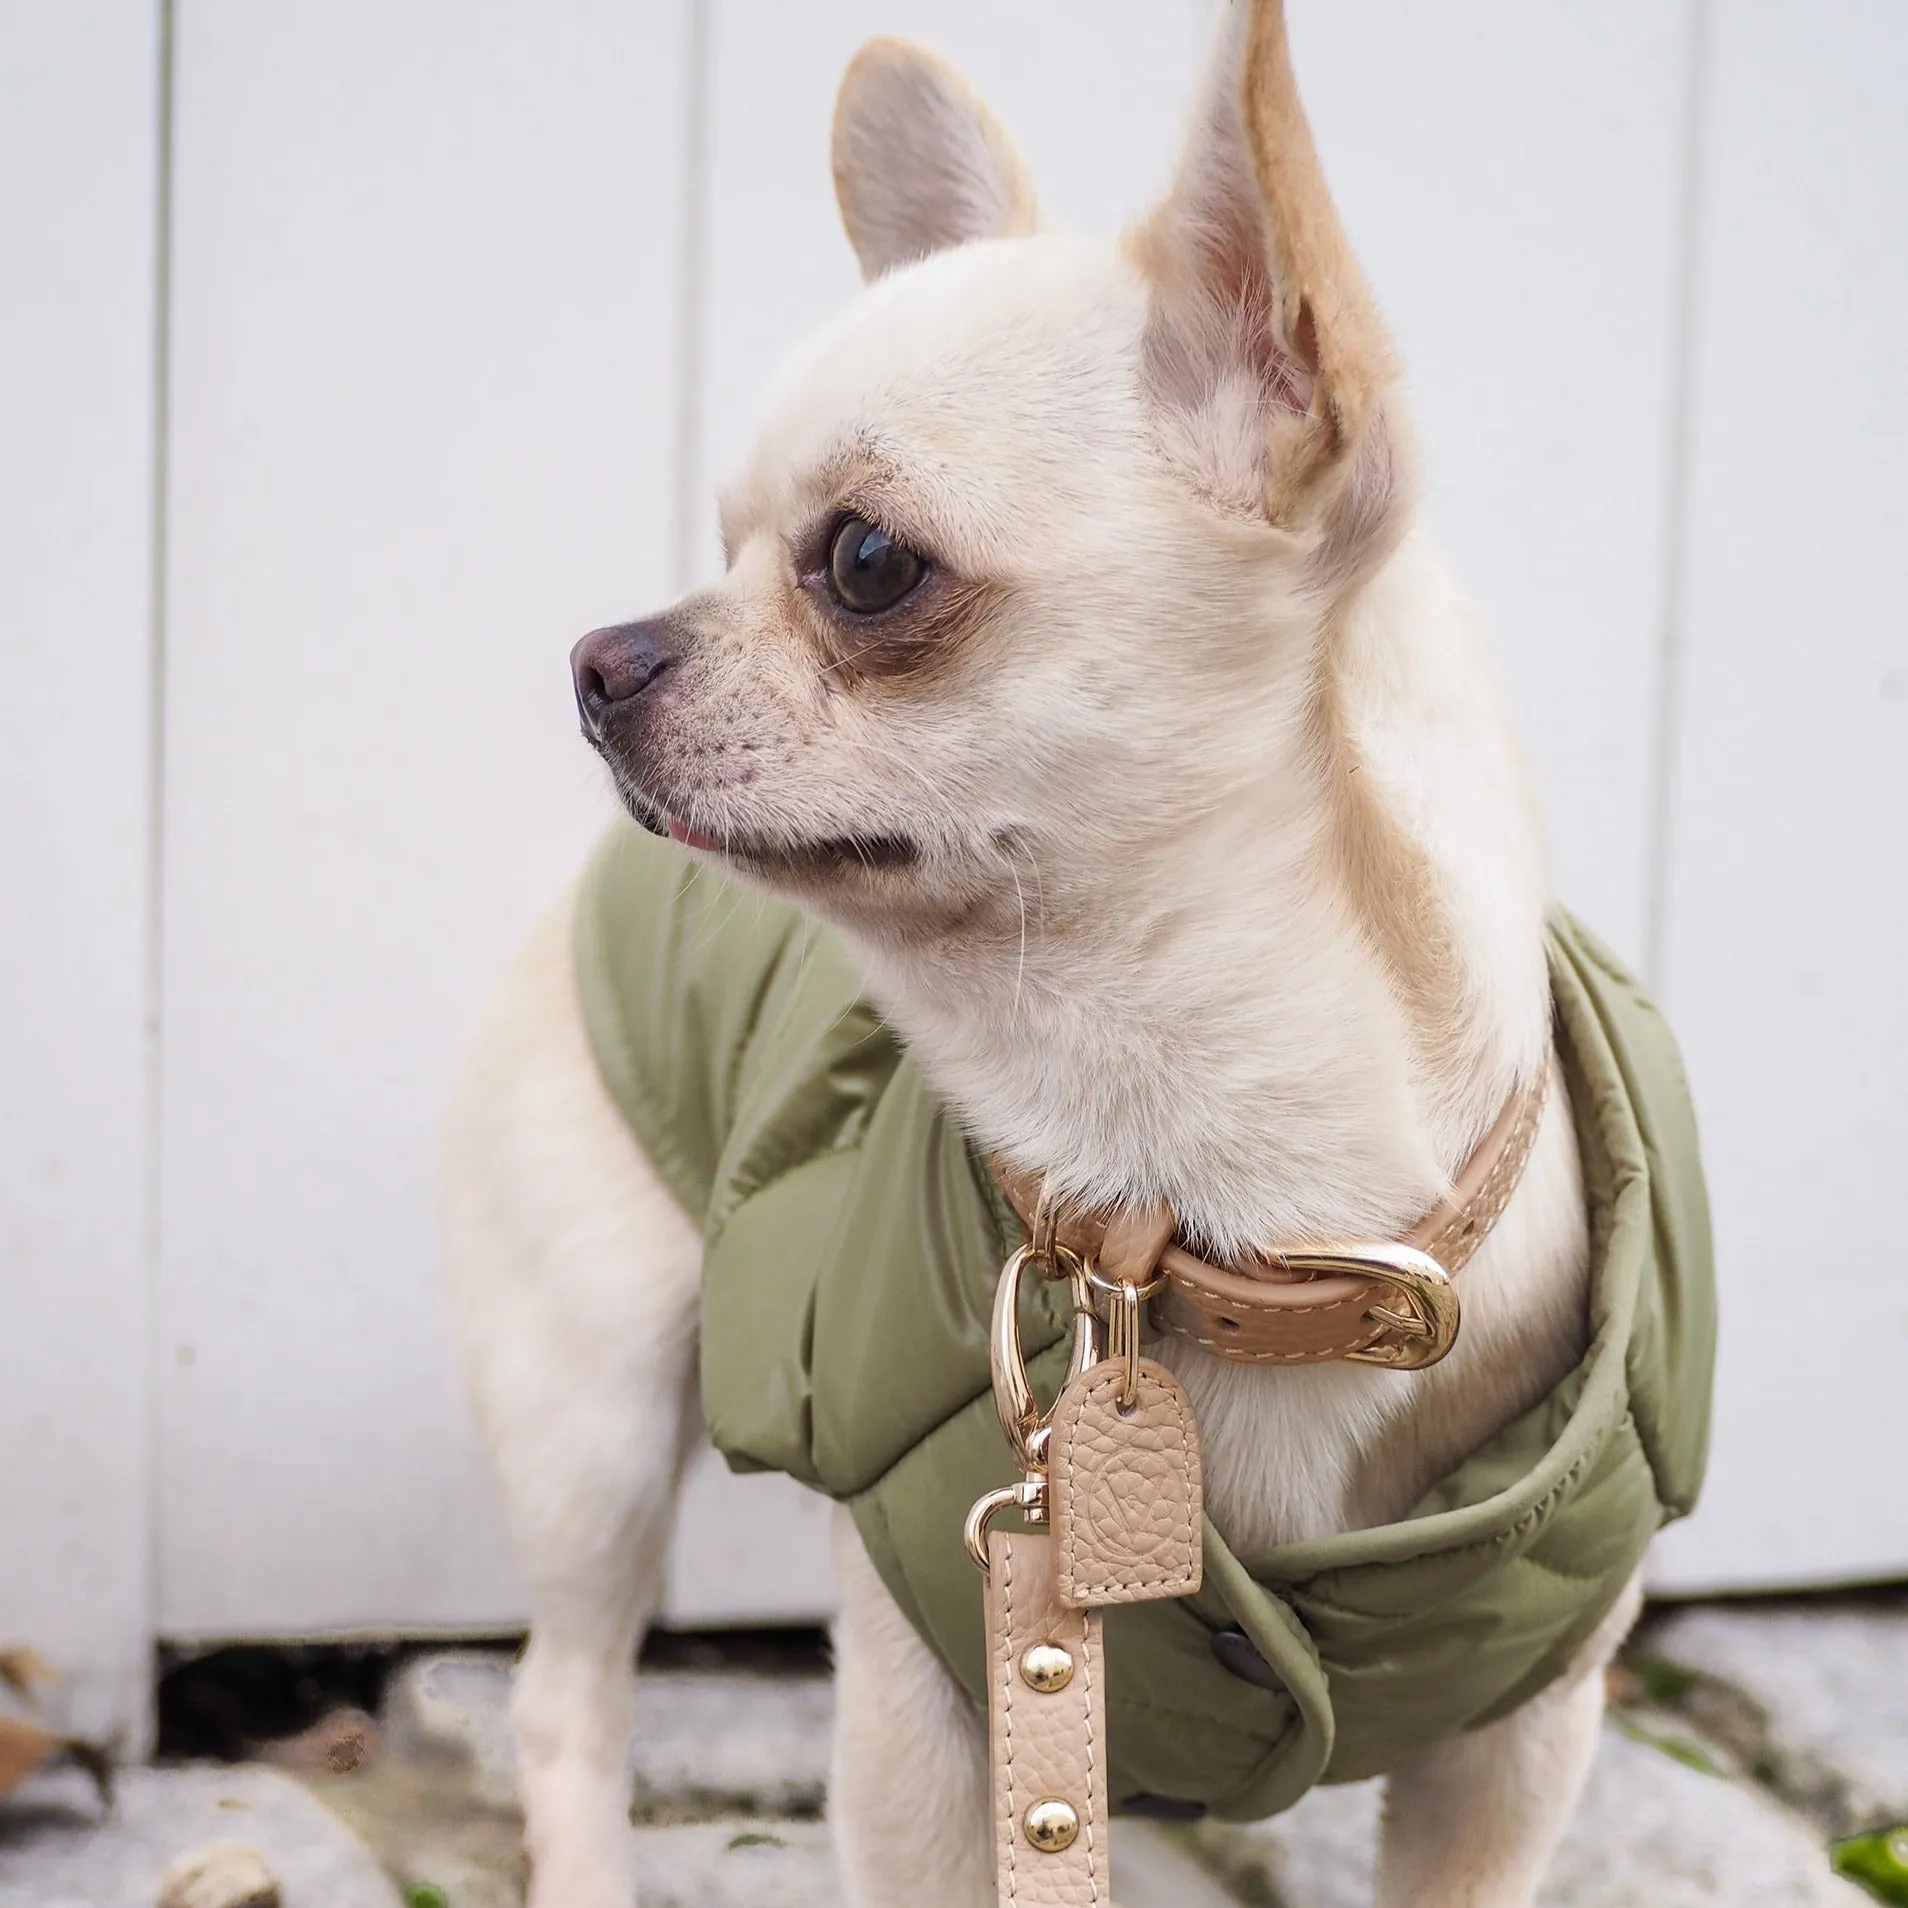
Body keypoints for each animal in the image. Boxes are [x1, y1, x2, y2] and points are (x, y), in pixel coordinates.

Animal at [442, 7, 1640, 1900]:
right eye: (719, 540)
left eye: (863, 560)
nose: (599, 655)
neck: (1212, 1209)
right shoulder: (943, 1693)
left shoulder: (1513, 1745)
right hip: (589, 1401)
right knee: (566, 1697)